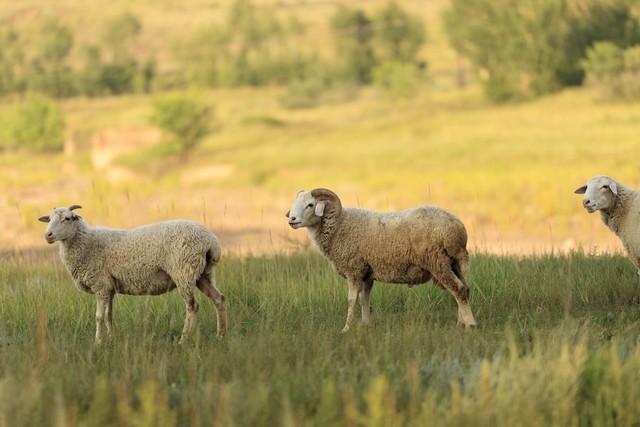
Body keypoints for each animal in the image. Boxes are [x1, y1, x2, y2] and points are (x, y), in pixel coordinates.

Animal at [37, 206, 226, 344]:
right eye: (49, 219)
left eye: (68, 218)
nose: (48, 235)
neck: (86, 242)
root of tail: (211, 241)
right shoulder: (109, 287)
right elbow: (109, 316)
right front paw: (111, 339)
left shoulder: (100, 285)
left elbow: (98, 317)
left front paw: (98, 342)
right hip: (203, 273)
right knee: (219, 299)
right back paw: (221, 335)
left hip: (184, 272)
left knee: (192, 306)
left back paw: (183, 340)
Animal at [284, 189, 476, 332]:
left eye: (310, 205)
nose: (292, 220)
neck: (339, 226)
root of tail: (456, 228)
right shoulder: (366, 273)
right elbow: (365, 299)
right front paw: (365, 325)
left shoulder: (353, 271)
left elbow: (351, 300)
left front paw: (346, 329)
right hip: (454, 262)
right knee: (464, 289)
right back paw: (460, 323)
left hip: (437, 262)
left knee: (458, 290)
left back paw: (470, 325)